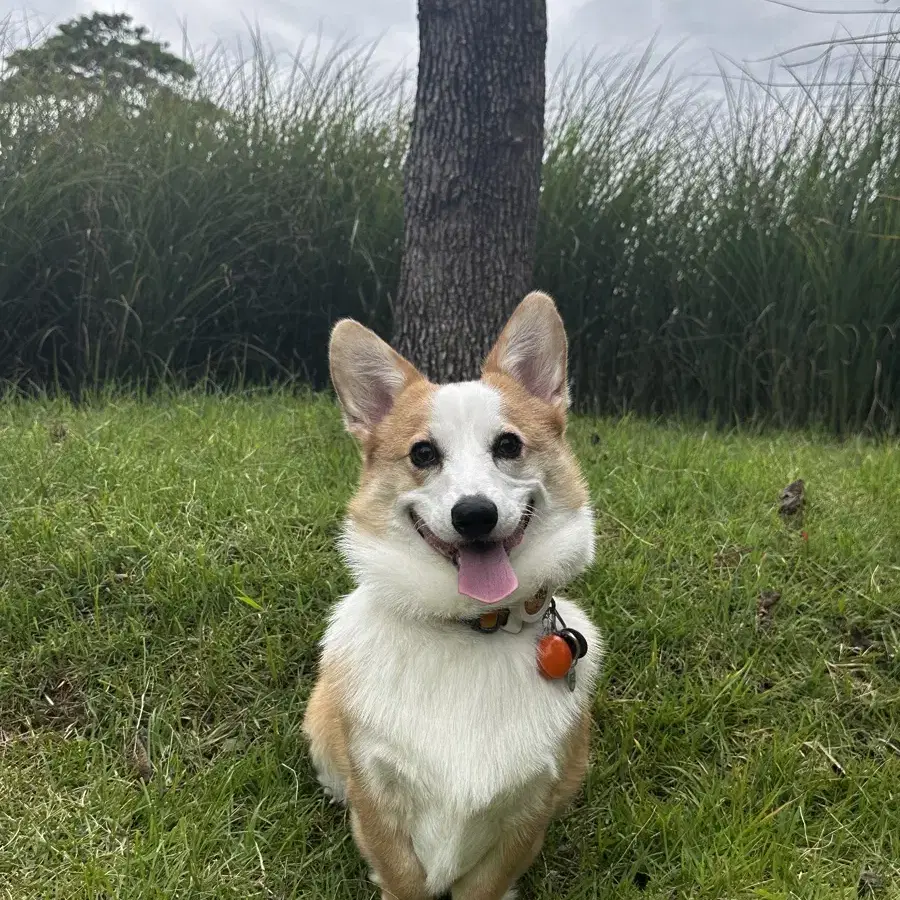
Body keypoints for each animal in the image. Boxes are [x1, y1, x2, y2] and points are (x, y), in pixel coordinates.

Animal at [304, 292, 604, 896]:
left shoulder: (526, 814)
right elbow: (401, 876)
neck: (473, 627)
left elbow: (486, 883)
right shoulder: (377, 795)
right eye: (423, 454)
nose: (474, 514)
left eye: (508, 445)